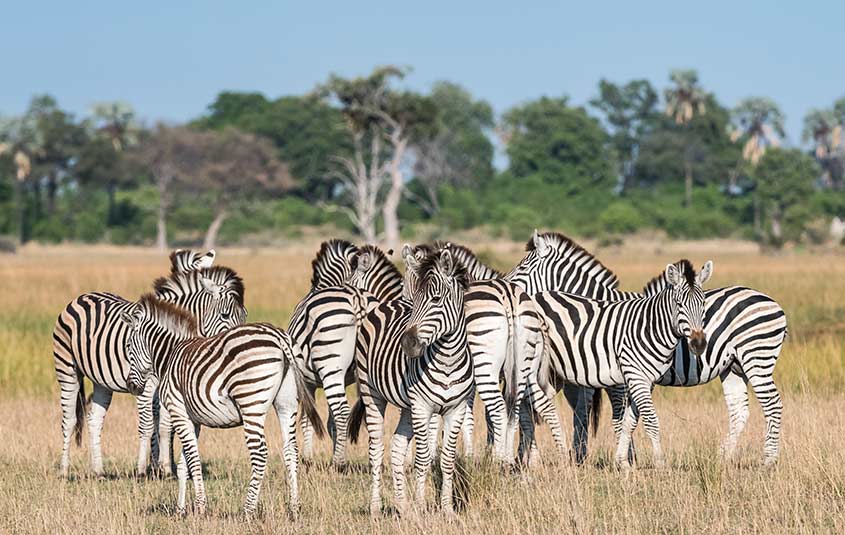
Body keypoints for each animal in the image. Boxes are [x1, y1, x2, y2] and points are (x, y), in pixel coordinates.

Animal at [52, 253, 246, 478]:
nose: (238, 344)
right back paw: (64, 470)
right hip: (67, 369)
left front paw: (165, 468)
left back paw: (98, 471)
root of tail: (82, 296)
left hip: (102, 382)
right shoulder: (146, 383)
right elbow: (148, 424)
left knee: (94, 420)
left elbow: (165, 425)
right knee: (69, 420)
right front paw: (143, 469)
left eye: (245, 315)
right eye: (225, 315)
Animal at [120, 295, 323, 516]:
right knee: (291, 450)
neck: (170, 354)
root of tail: (278, 336)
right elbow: (183, 464)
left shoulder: (178, 410)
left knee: (260, 454)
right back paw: (294, 508)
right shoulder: (193, 419)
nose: (131, 386)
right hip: (287, 403)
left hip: (250, 402)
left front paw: (200, 506)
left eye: (128, 346)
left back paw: (247, 511)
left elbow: (193, 459)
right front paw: (181, 510)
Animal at [289, 244, 401, 466]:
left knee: (341, 412)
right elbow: (330, 422)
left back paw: (339, 462)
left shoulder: (307, 381)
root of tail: (358, 300)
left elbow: (308, 419)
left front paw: (307, 459)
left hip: (330, 367)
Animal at [349, 249, 474, 515]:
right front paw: (421, 507)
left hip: (407, 407)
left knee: (397, 447)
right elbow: (423, 459)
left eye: (436, 300)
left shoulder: (455, 408)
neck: (448, 360)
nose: (407, 344)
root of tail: (387, 303)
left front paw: (447, 509)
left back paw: (402, 506)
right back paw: (376, 507)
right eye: (415, 300)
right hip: (372, 394)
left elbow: (447, 459)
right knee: (376, 449)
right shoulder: (423, 407)